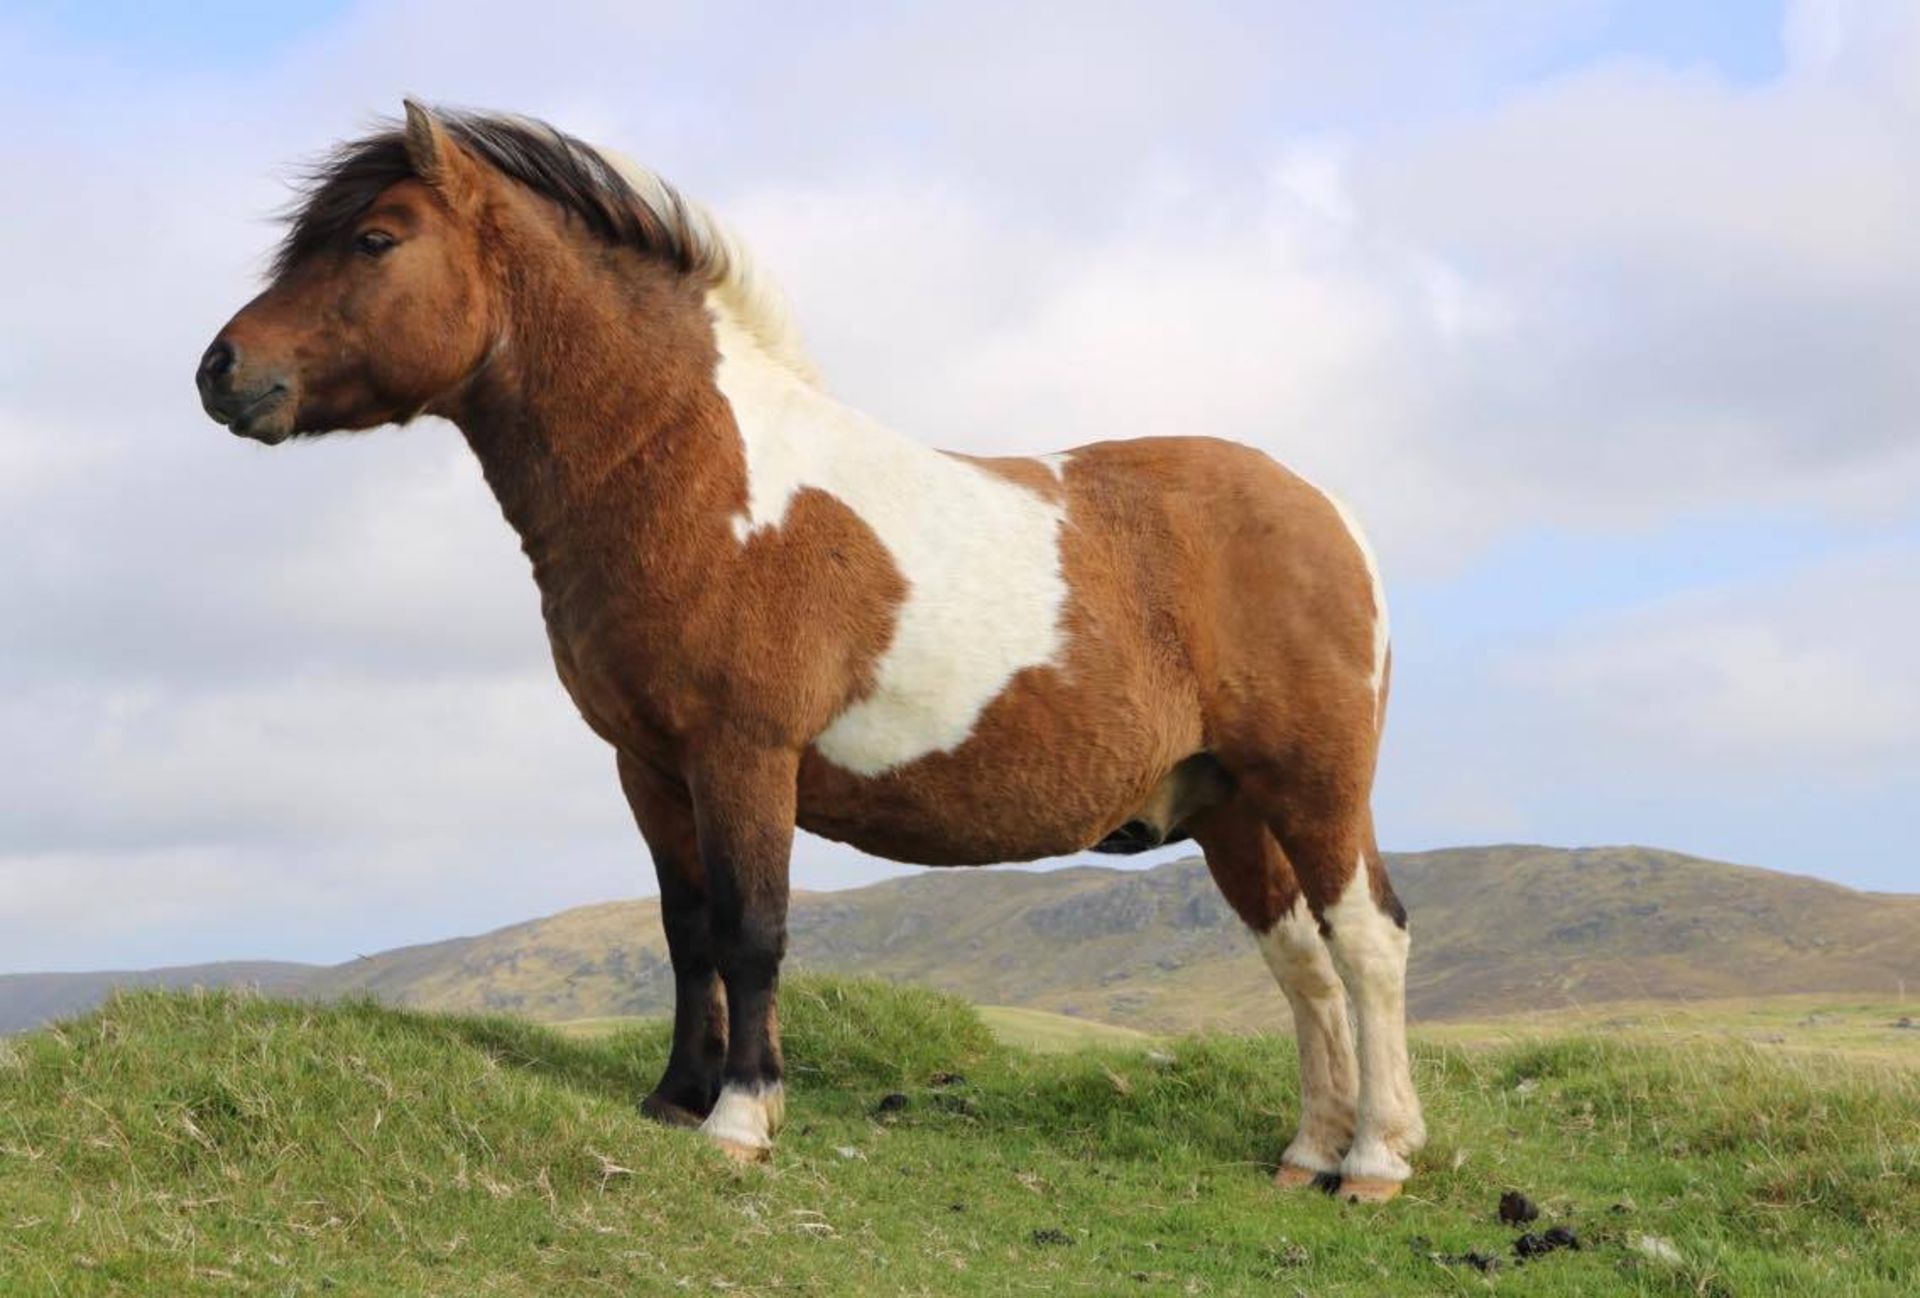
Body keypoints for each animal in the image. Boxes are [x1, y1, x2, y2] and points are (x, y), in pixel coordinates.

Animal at [198, 104, 1428, 1205]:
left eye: (376, 239)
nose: (221, 369)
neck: (692, 474)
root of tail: (1327, 514)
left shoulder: (744, 754)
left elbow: (753, 930)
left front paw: (742, 1118)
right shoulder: (651, 768)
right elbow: (688, 930)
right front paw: (676, 1095)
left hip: (1312, 785)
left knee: (1365, 942)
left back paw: (1372, 1162)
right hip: (1230, 808)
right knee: (1302, 963)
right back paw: (1308, 1152)